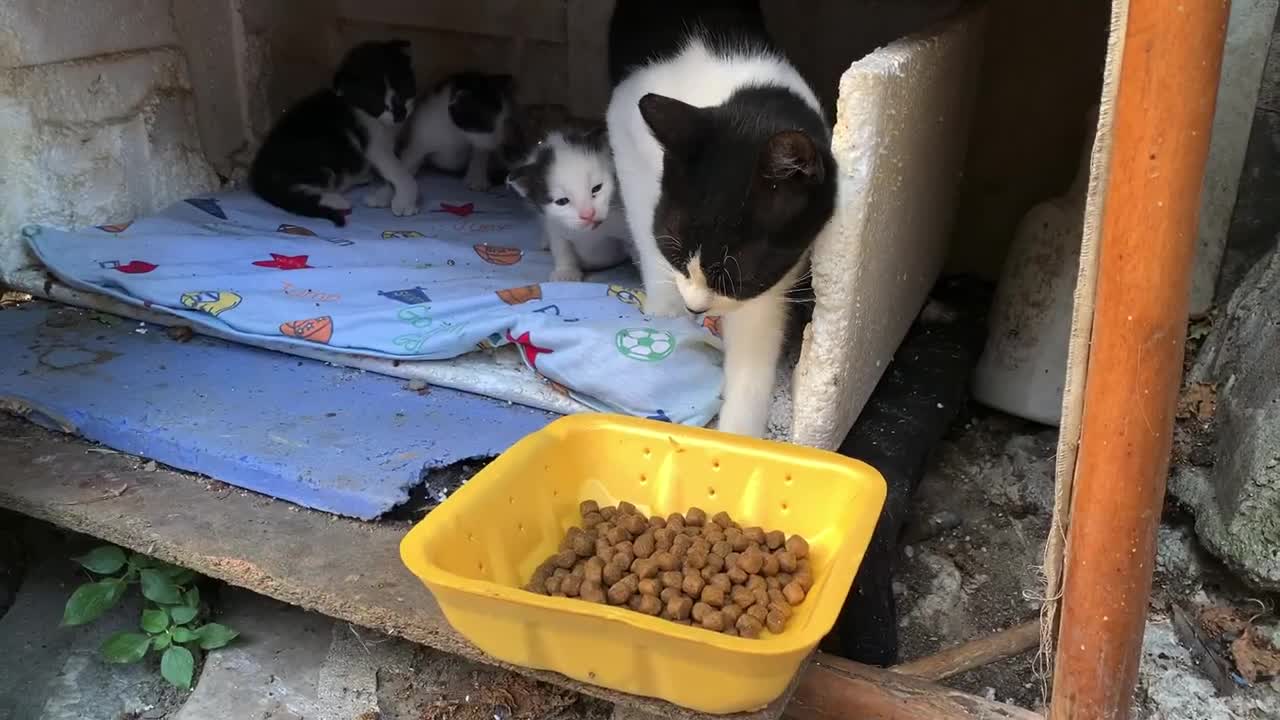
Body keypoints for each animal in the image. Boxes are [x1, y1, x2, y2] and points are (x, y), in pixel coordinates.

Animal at [253, 39, 419, 224]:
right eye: (376, 100)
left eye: (404, 87)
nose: (400, 114)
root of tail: (258, 171)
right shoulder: (373, 142)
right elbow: (398, 170)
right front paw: (405, 201)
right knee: (292, 189)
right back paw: (335, 201)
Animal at [363, 71, 512, 207]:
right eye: (487, 124)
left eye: (504, 121)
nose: (500, 143)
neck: (456, 132)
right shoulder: (418, 142)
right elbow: (402, 168)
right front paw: (383, 196)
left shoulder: (481, 144)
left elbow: (480, 155)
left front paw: (477, 179)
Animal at [506, 124, 632, 281]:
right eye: (562, 201)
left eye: (597, 188)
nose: (588, 214)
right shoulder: (554, 225)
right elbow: (562, 247)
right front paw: (565, 272)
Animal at [606, 1, 839, 438]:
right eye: (674, 253)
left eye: (739, 276)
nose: (696, 307)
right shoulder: (623, 124)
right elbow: (642, 212)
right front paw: (665, 308)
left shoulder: (770, 279)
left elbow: (756, 330)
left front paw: (738, 439)